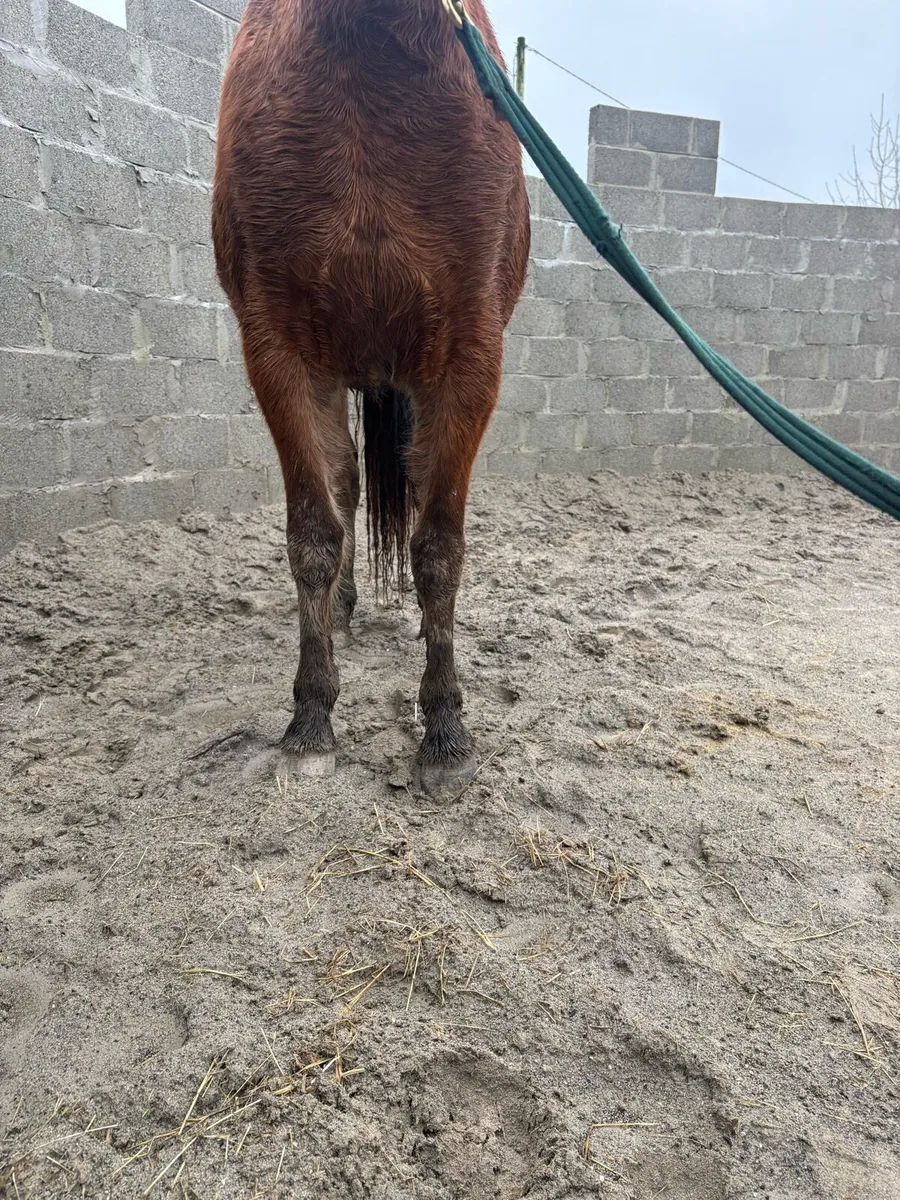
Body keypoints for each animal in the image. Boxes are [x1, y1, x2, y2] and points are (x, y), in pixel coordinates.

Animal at [212, 0, 530, 792]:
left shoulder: (469, 360)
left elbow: (440, 547)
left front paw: (444, 730)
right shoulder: (280, 356)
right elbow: (313, 535)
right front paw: (310, 718)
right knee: (348, 489)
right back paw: (345, 611)